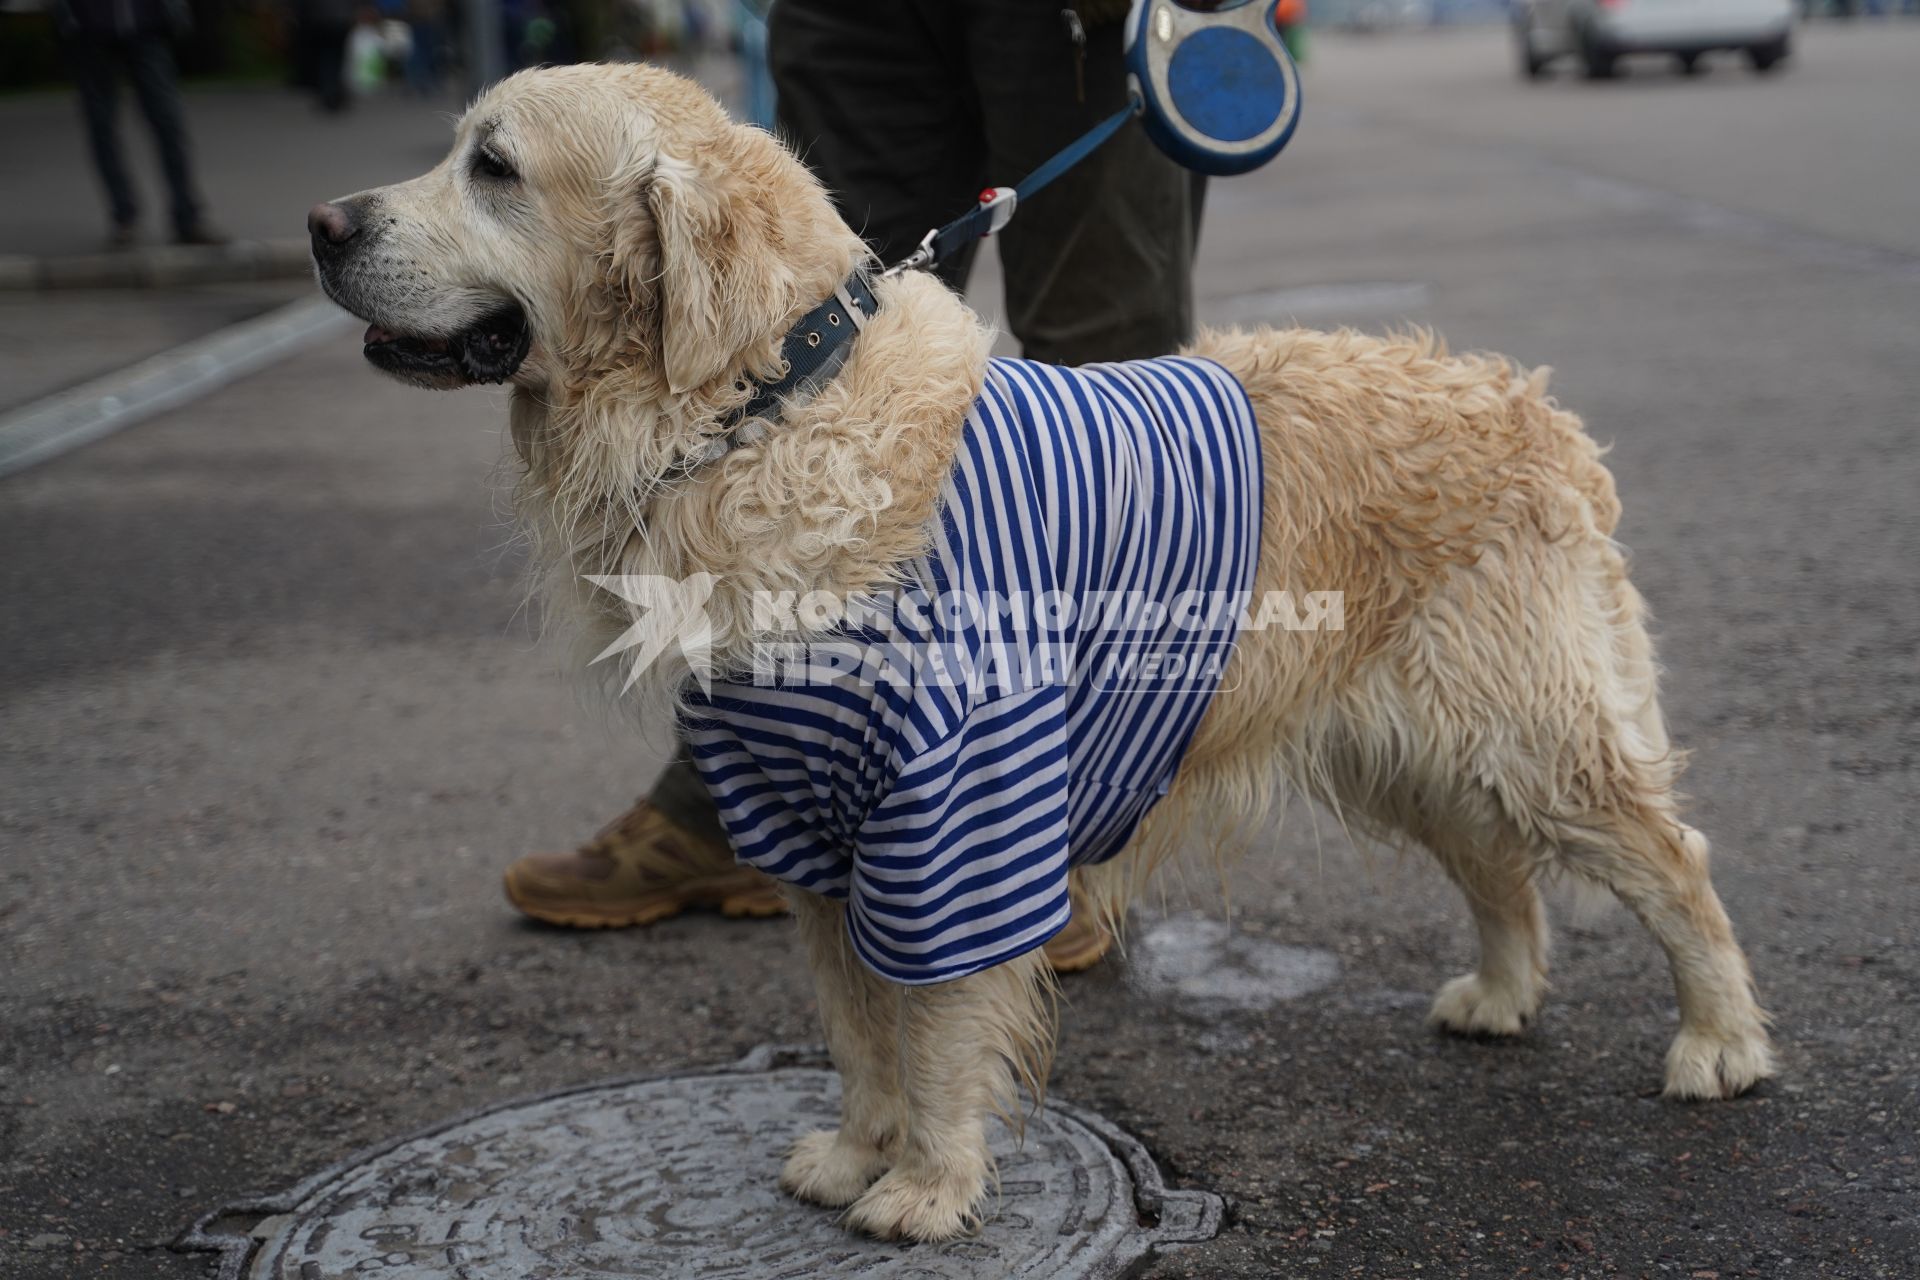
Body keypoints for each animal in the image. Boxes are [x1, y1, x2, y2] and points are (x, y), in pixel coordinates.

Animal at [311, 65, 1766, 1243]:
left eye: (495, 166)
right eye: (458, 151)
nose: (322, 225)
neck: (769, 406)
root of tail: (1530, 399)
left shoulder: (948, 807)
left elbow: (934, 1027)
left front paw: (927, 1185)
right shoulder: (802, 825)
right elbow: (855, 1024)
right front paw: (859, 1152)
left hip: (1528, 728)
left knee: (1675, 861)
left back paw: (1719, 1040)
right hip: (1402, 743)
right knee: (1499, 868)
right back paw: (1503, 991)